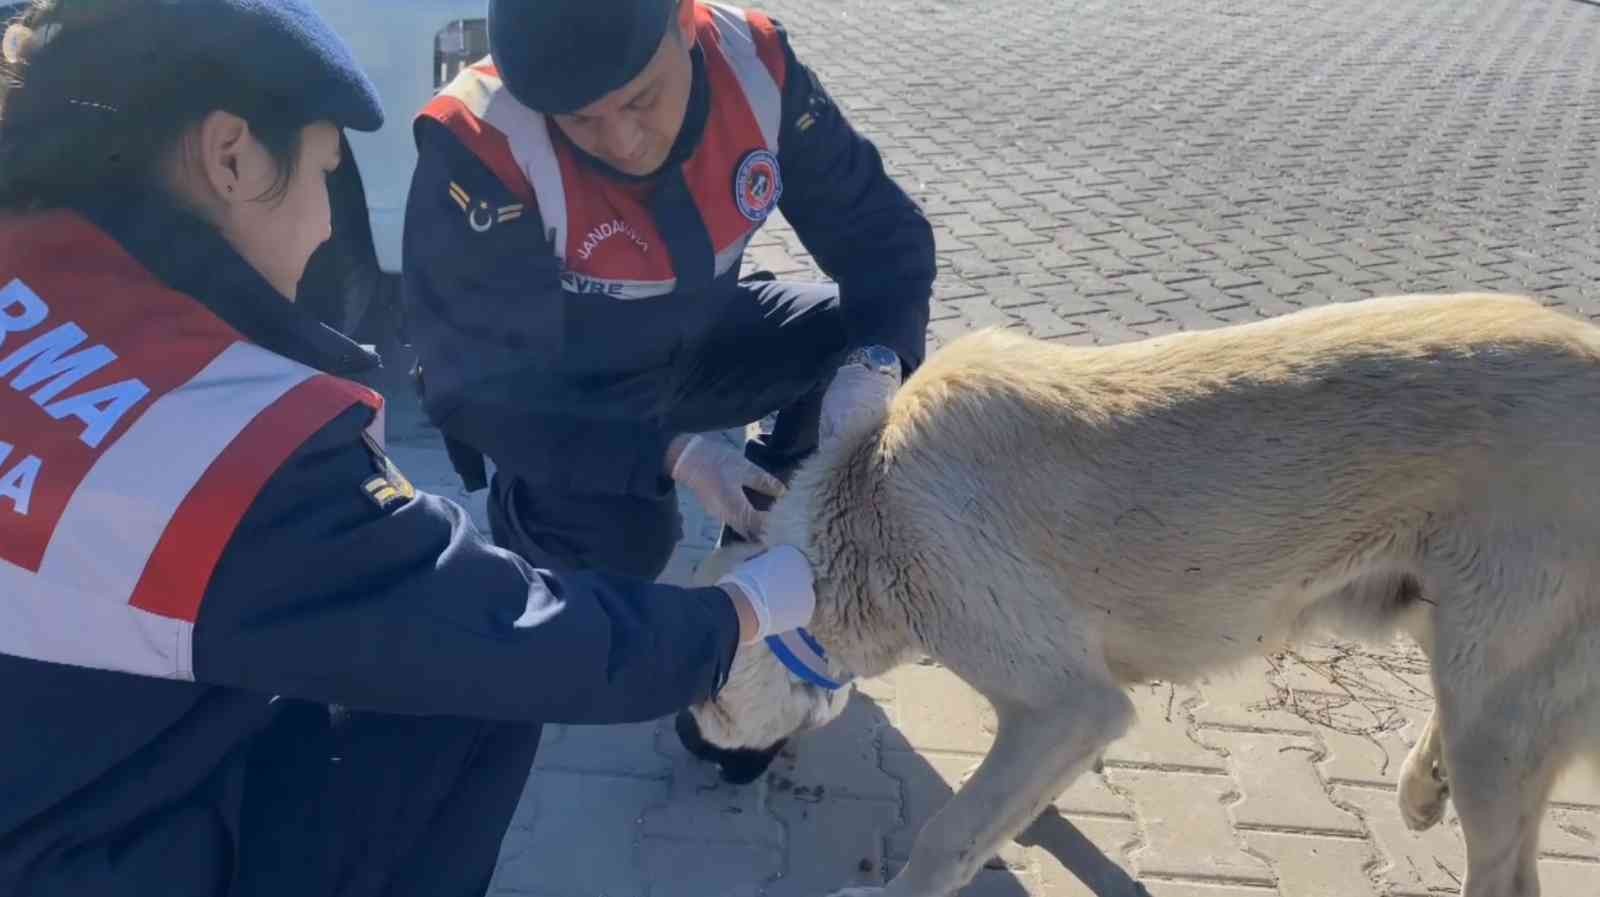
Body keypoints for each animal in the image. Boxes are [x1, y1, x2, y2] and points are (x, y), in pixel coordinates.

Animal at [681, 294, 1600, 895]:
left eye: (709, 697)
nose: (690, 740)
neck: (868, 501)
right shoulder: (1065, 715)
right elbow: (1001, 805)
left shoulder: (1069, 703)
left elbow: (947, 832)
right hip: (1480, 667)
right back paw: (1418, 784)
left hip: (1497, 711)